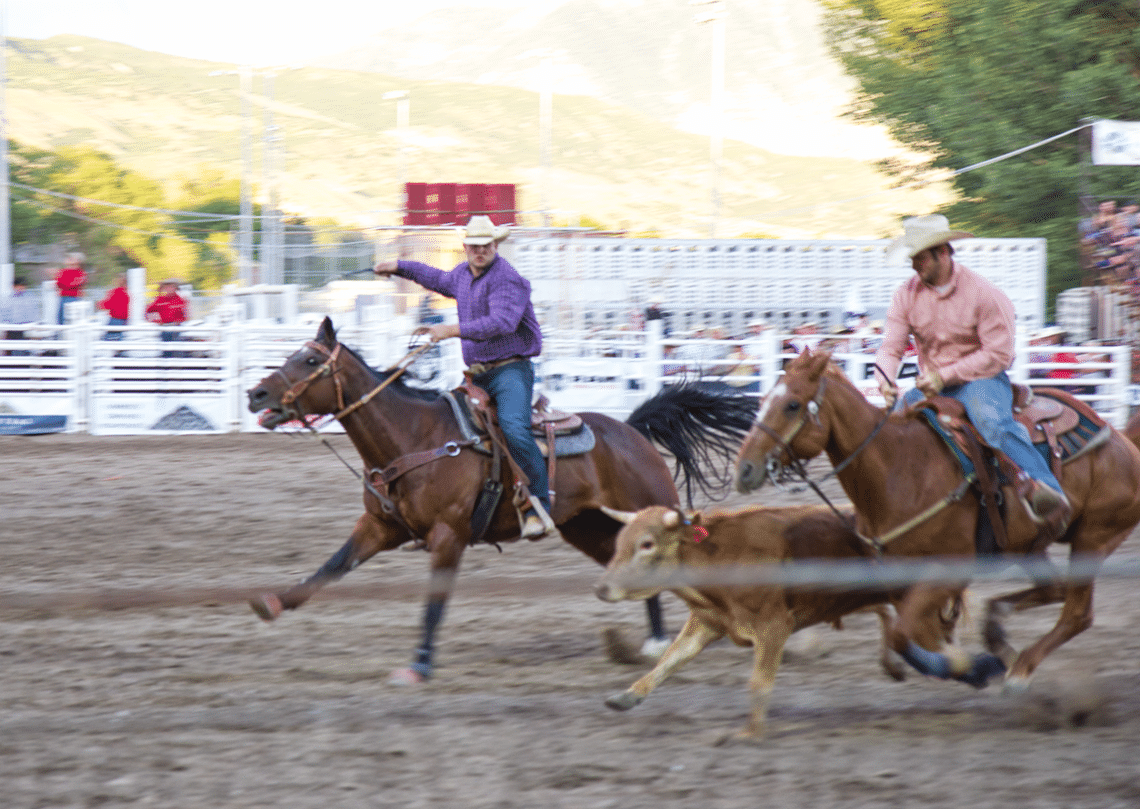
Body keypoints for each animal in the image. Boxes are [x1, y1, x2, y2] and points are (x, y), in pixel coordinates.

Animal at [247, 316, 756, 683]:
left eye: (308, 361)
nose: (256, 393)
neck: (414, 438)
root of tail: (632, 431)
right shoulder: (378, 527)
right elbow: (332, 566)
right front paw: (274, 603)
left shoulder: (448, 536)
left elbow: (434, 602)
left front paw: (420, 665)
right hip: (589, 528)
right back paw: (650, 645)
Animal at [729, 350, 1140, 692]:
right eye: (762, 401)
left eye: (792, 405)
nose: (744, 469)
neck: (900, 468)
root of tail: (1122, 440)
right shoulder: (898, 577)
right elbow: (915, 634)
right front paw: (969, 666)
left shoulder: (949, 570)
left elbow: (905, 633)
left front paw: (970, 668)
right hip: (1030, 545)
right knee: (1053, 592)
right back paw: (1000, 640)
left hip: (1094, 536)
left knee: (1077, 613)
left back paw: (1019, 671)